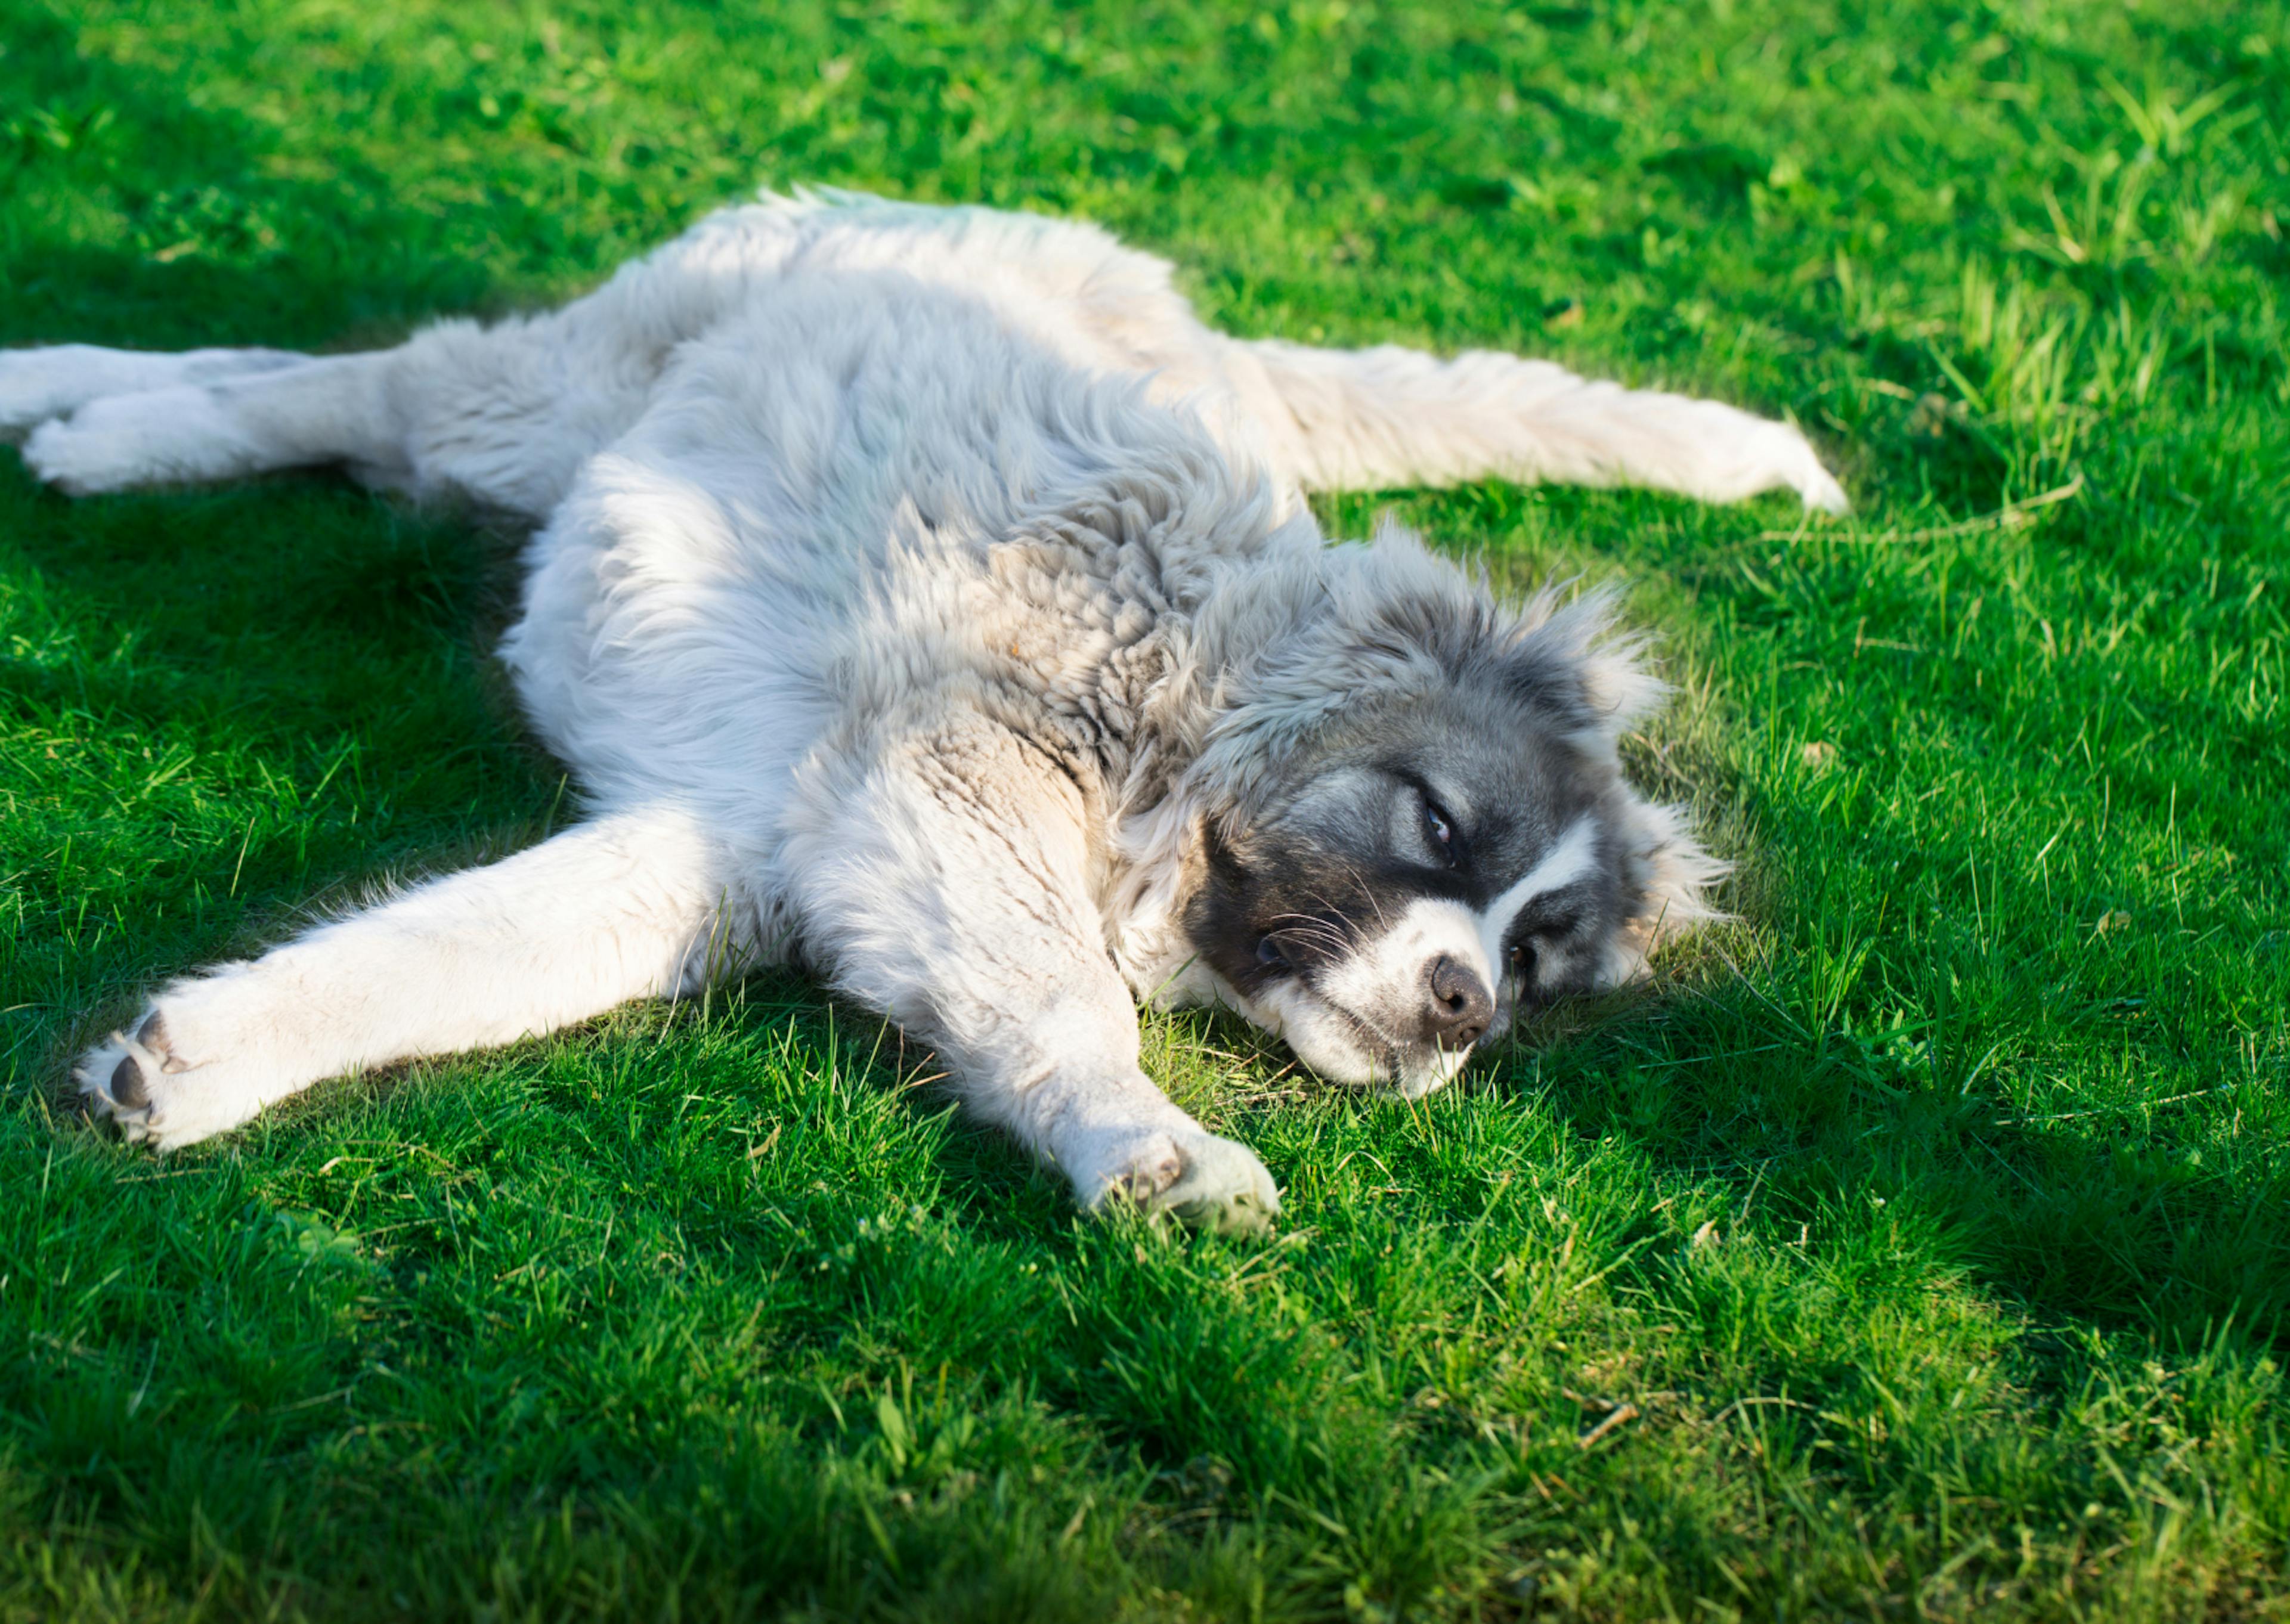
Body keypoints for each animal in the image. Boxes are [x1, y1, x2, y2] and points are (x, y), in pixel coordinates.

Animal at [9, 190, 1841, 1228]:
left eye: (1535, 963)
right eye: (1436, 825)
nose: (1463, 1009)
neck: (1186, 702)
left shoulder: (739, 843)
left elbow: (452, 959)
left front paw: (194, 1062)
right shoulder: (950, 790)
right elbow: (1062, 1000)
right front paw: (1153, 1147)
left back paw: (76, 402)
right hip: (565, 399)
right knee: (361, 389)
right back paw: (100, 418)